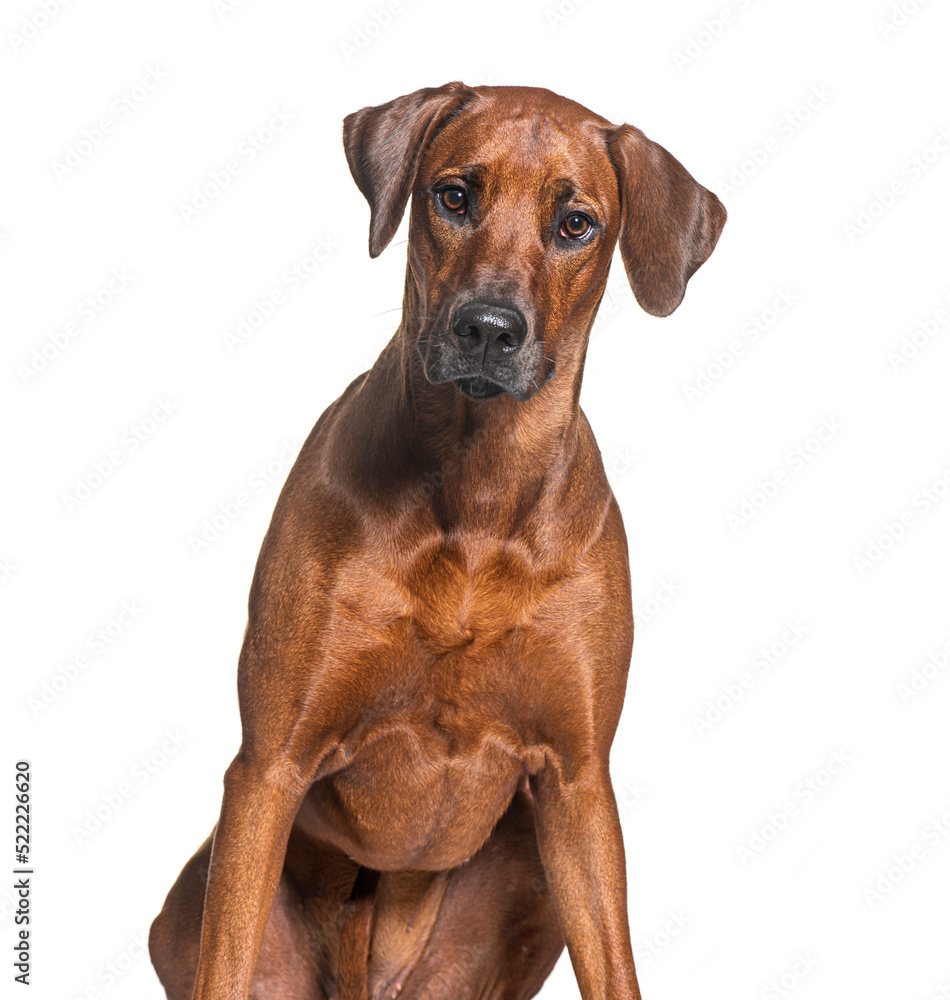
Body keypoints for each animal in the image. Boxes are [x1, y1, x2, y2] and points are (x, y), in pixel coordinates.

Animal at [151, 80, 728, 1000]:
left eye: (576, 223)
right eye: (454, 196)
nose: (487, 328)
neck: (479, 496)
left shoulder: (578, 783)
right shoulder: (269, 769)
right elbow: (226, 958)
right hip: (194, 906)